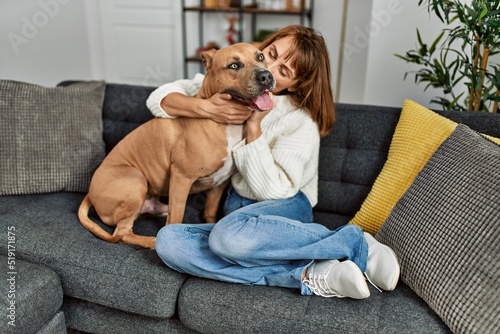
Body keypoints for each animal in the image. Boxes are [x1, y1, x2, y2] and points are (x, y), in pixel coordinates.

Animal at [78, 43, 276, 249]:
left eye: (260, 57)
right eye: (234, 65)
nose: (266, 76)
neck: (226, 124)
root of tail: (90, 192)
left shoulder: (219, 184)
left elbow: (210, 213)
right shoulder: (182, 177)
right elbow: (176, 217)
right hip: (135, 178)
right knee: (122, 233)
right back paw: (152, 241)